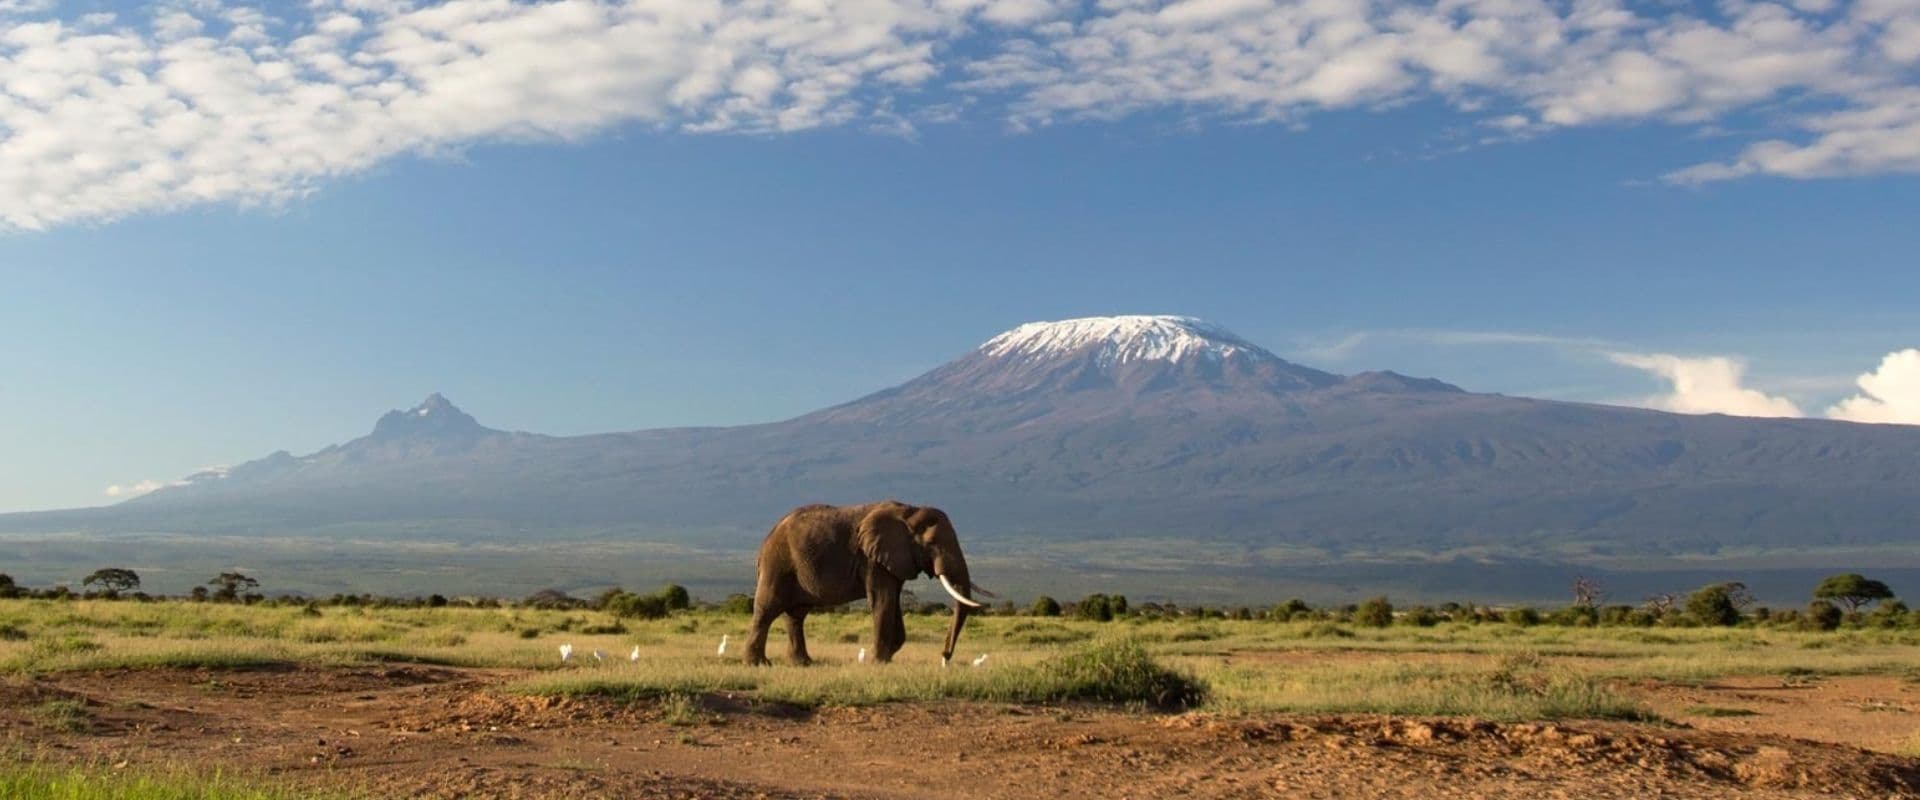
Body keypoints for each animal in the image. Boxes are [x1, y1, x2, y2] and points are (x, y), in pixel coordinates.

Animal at [745, 500, 990, 666]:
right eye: (932, 544)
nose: (944, 656)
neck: (910, 512)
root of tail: (764, 543)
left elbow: (893, 603)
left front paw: (887, 658)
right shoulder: (872, 559)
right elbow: (883, 602)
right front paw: (878, 662)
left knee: (796, 615)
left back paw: (803, 663)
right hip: (778, 564)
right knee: (767, 609)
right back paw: (758, 664)